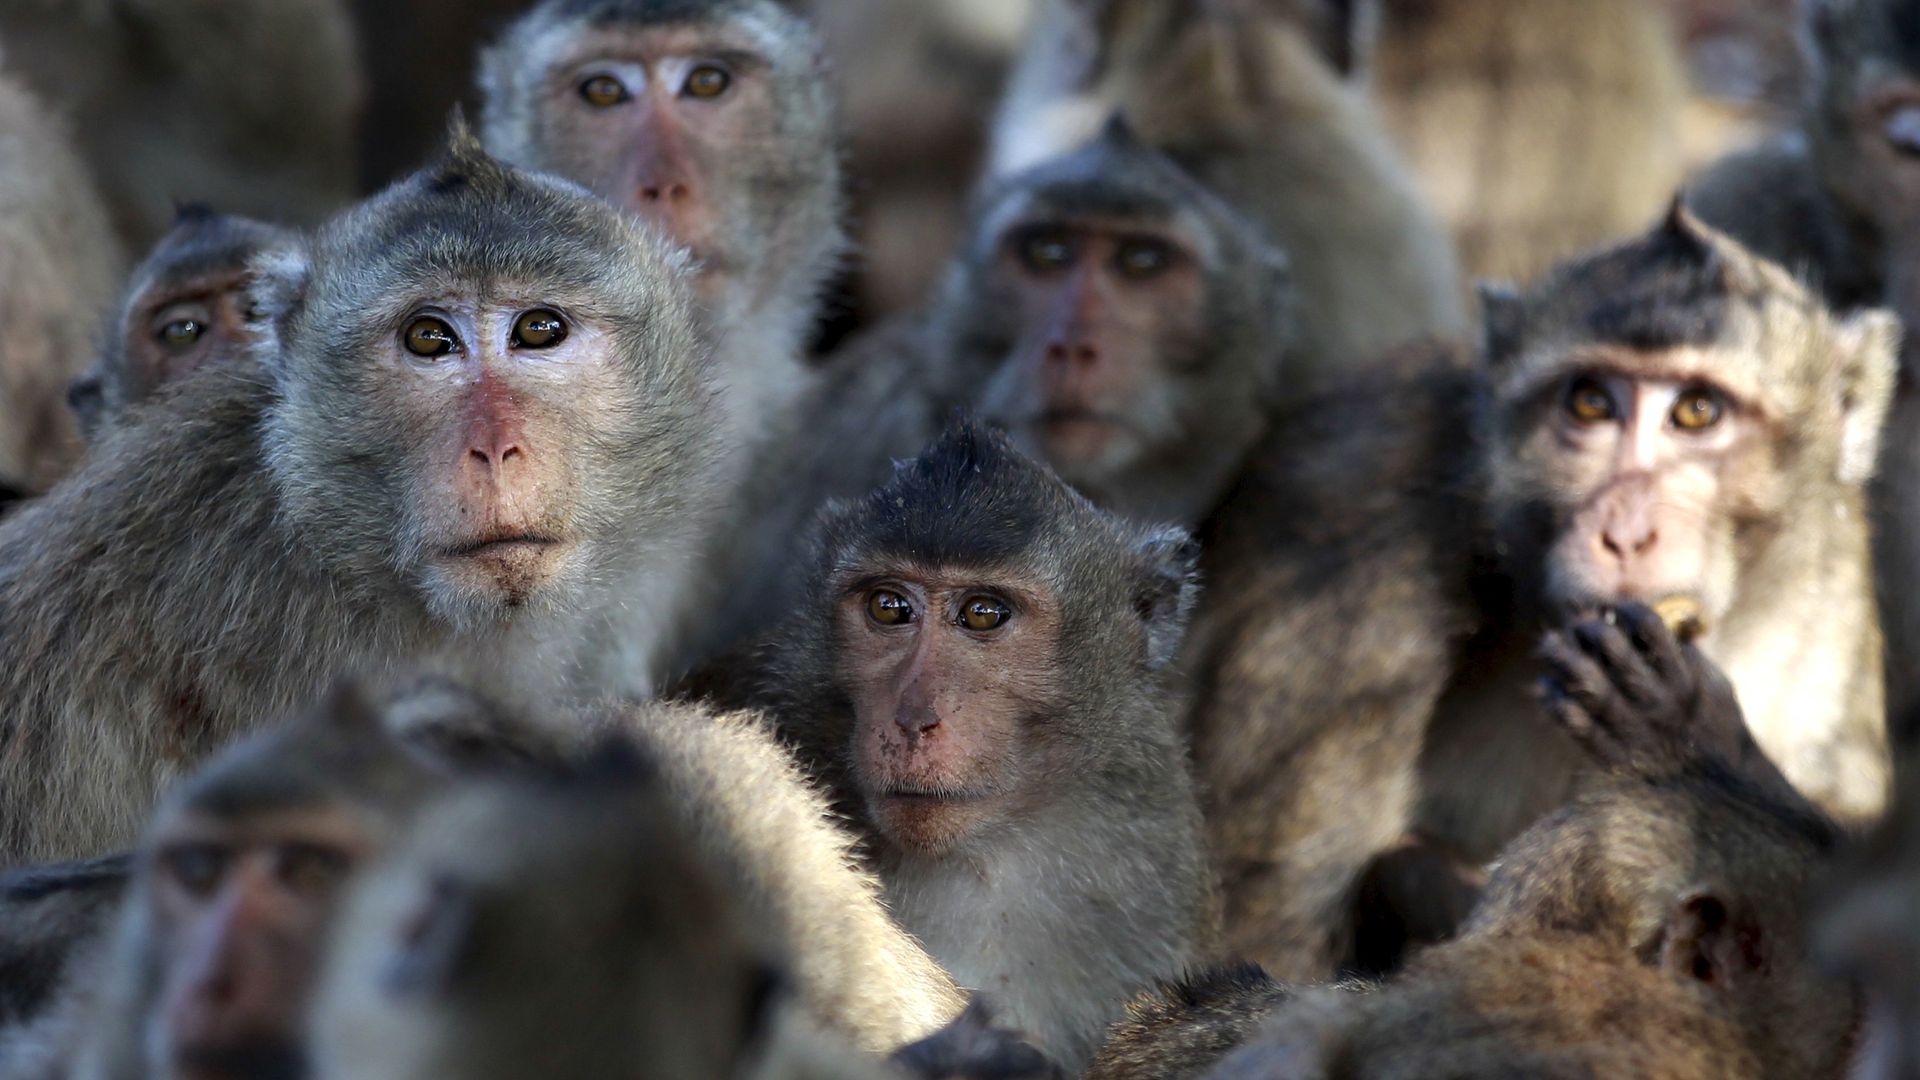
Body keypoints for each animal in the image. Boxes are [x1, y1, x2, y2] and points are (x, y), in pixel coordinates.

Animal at [1182, 205, 1897, 982]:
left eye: (1697, 413)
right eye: (1589, 403)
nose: (1626, 533)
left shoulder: (1830, 579)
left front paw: (1695, 736)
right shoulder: (1353, 525)